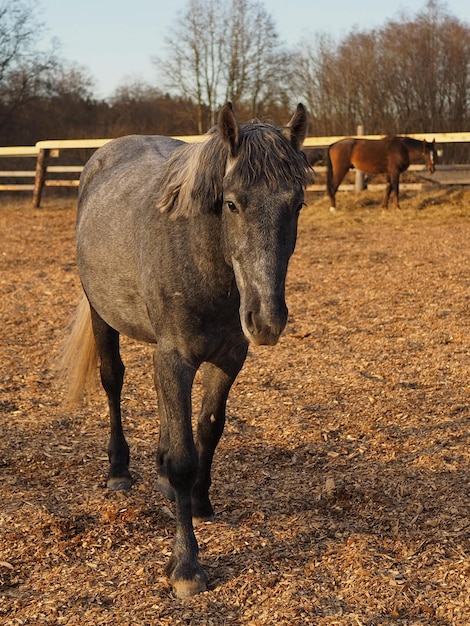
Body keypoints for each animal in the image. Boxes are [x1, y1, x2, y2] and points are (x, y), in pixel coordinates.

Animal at [60, 102, 312, 596]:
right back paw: (119, 471)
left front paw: (199, 501)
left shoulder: (229, 358)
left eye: (297, 204)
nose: (266, 320)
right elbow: (182, 457)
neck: (202, 258)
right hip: (103, 317)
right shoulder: (176, 359)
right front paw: (186, 566)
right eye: (231, 203)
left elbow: (208, 429)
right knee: (112, 380)